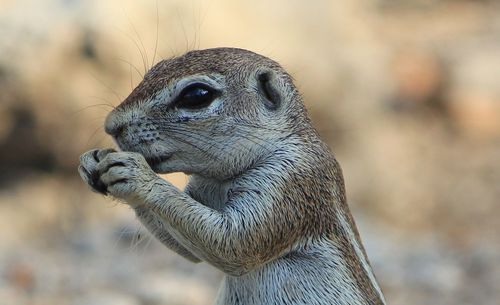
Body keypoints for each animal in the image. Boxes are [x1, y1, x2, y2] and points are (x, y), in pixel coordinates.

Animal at [78, 47, 384, 304]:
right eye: (155, 68)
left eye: (197, 95)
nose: (110, 125)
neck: (223, 179)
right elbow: (190, 250)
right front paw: (91, 161)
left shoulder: (290, 183)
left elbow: (234, 244)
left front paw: (137, 175)